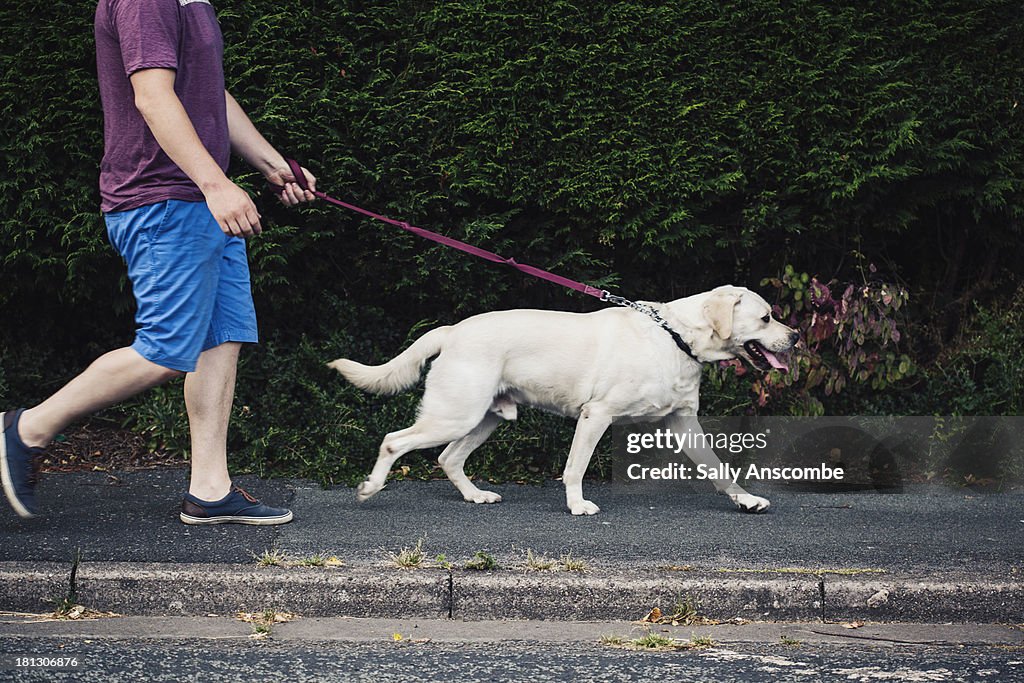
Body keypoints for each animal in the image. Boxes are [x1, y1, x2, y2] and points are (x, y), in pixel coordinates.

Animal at [331, 286, 794, 516]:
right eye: (767, 317)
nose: (795, 337)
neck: (675, 335)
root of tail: (452, 329)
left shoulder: (683, 422)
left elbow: (719, 468)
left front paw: (745, 500)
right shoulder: (596, 415)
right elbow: (575, 468)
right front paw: (576, 505)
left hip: (483, 419)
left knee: (448, 458)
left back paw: (475, 496)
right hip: (455, 414)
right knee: (394, 441)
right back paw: (371, 488)